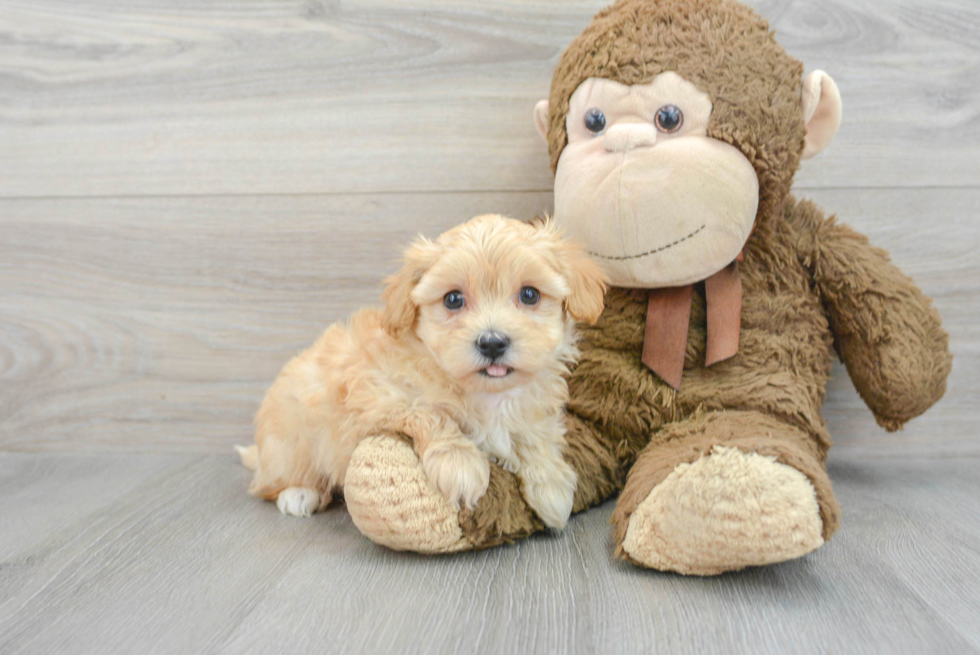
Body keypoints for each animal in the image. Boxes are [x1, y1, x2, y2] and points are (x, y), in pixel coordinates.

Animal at [237, 213, 604, 532]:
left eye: (529, 294)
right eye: (453, 299)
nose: (492, 343)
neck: (485, 395)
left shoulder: (532, 409)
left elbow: (534, 434)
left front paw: (551, 483)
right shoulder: (376, 392)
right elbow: (430, 412)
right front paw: (461, 464)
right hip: (290, 442)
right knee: (271, 483)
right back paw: (299, 493)